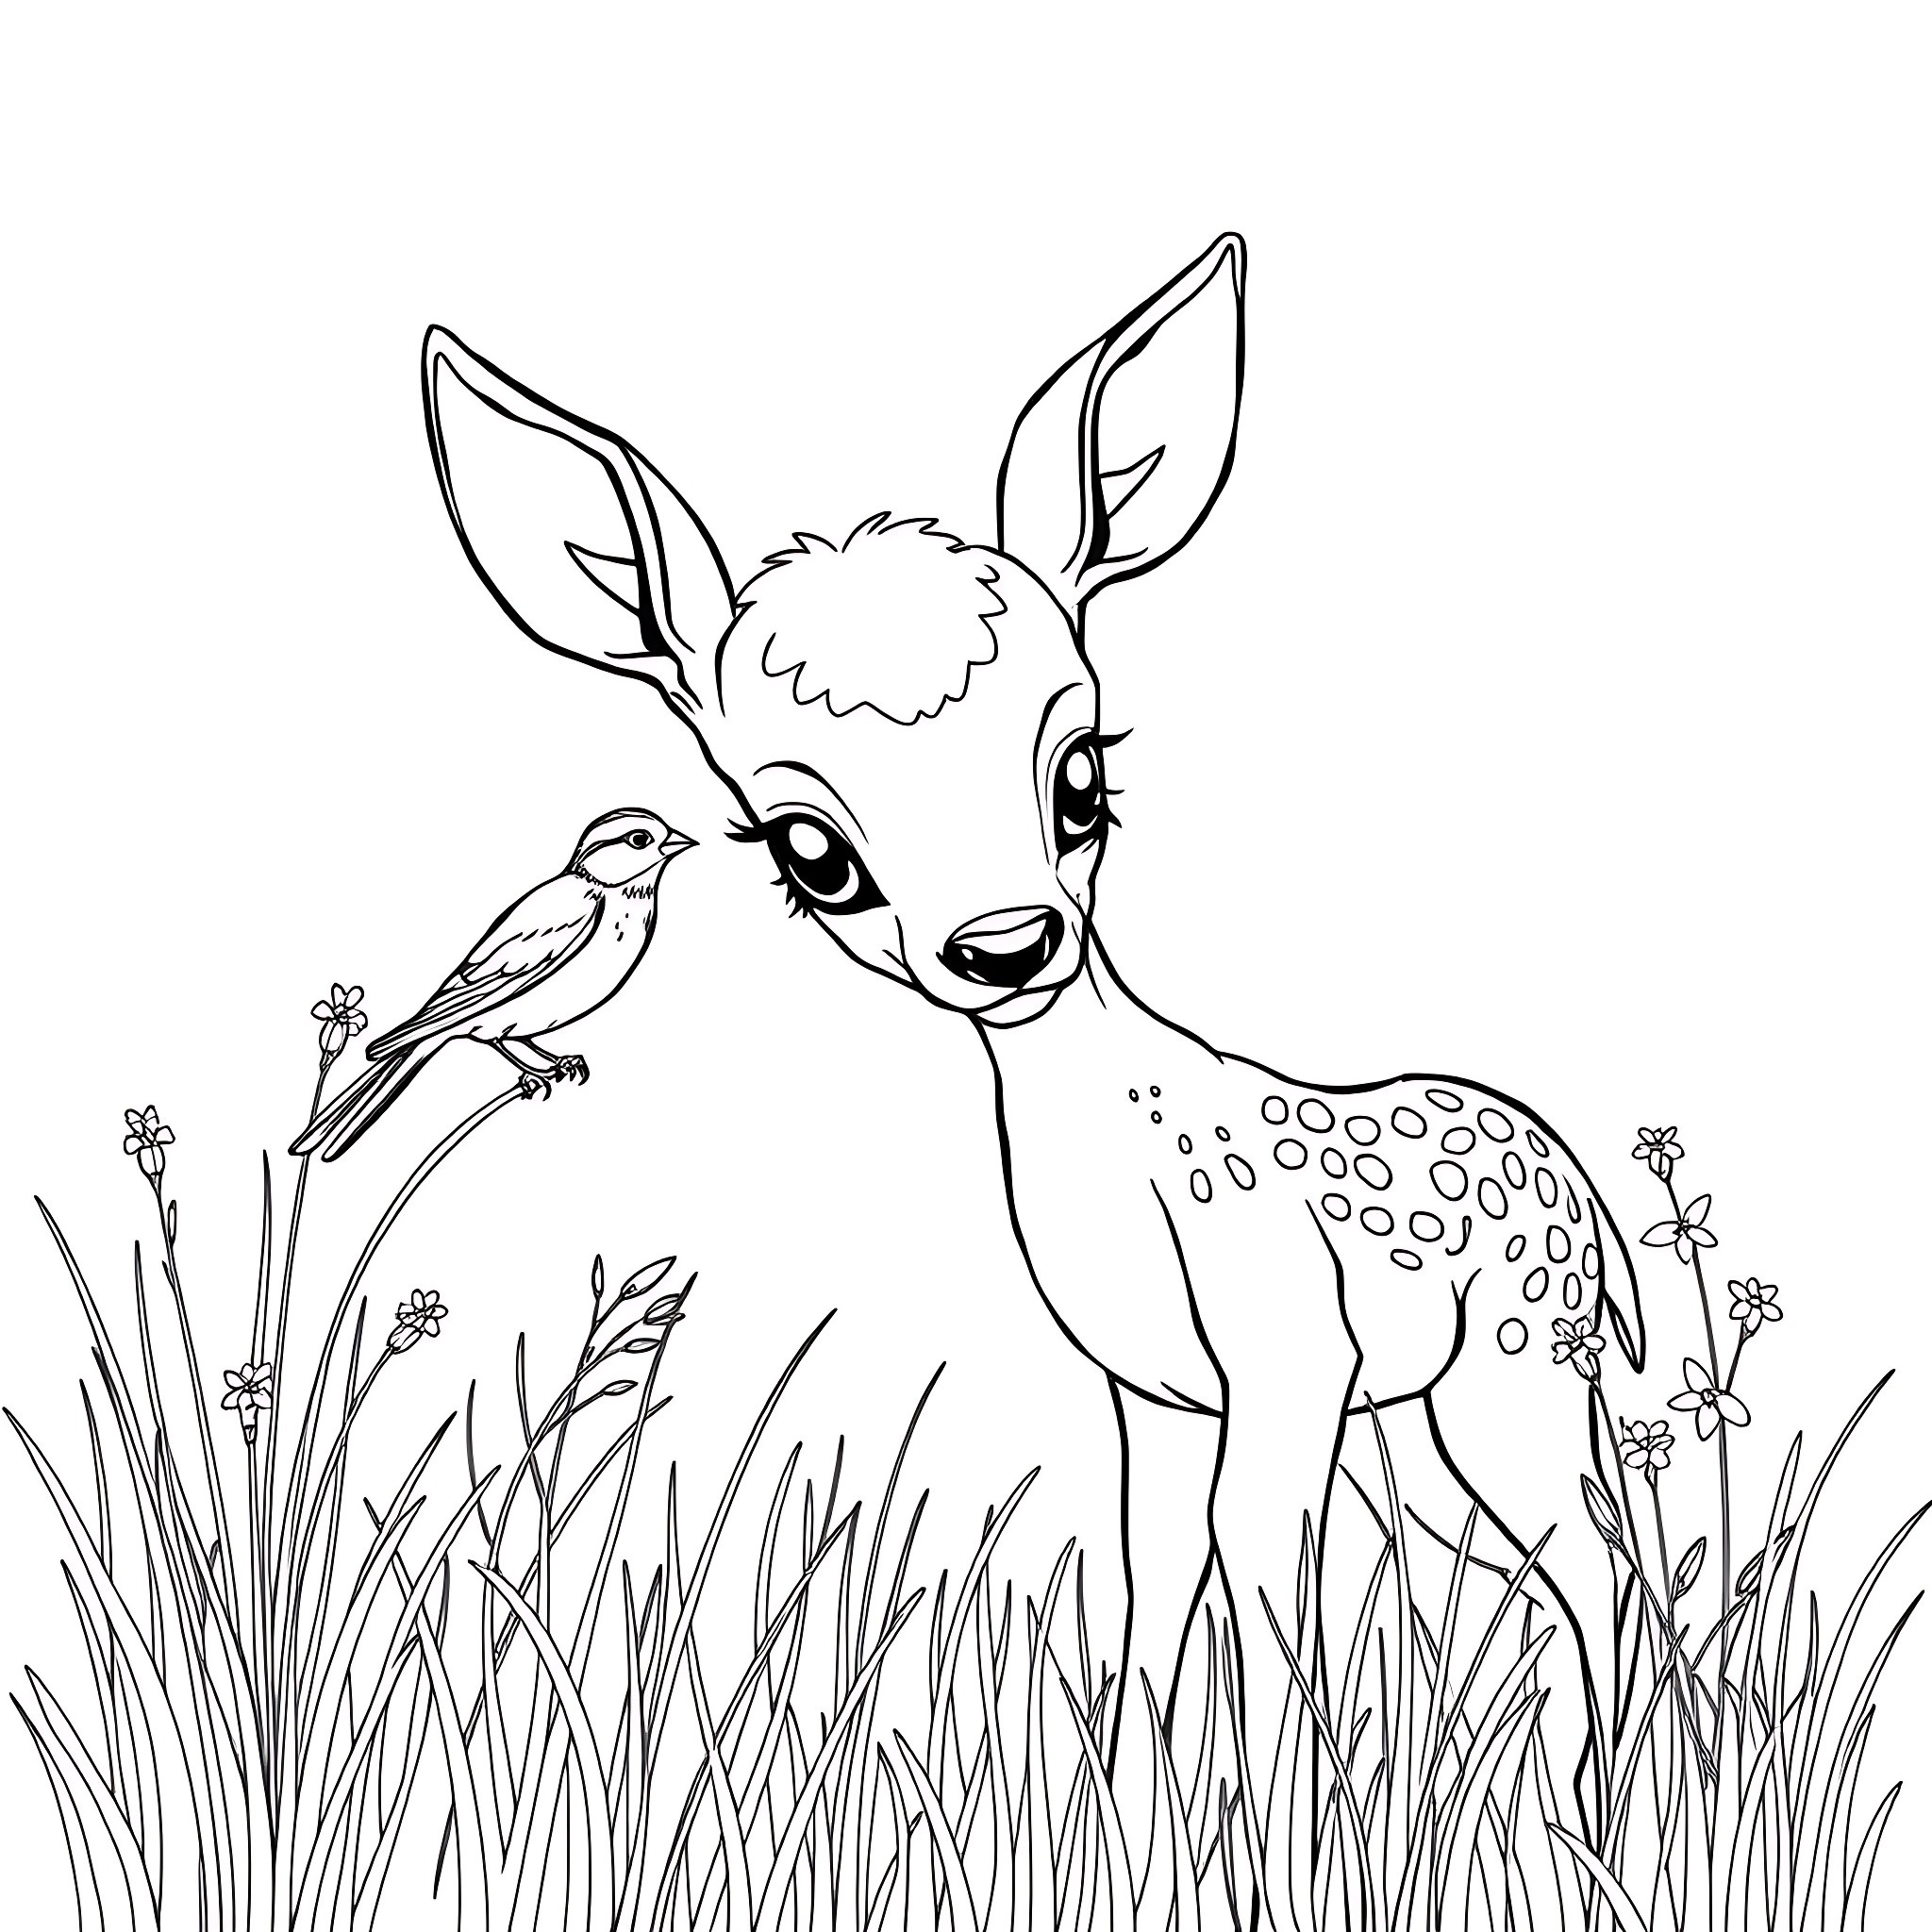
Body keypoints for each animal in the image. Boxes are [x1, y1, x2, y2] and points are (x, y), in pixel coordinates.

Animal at [418, 233, 1645, 1842]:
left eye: (1082, 776)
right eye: (811, 852)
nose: (1006, 946)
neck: (1123, 1154)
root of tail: (1590, 1204)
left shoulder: (1287, 1359)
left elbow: (1266, 1589)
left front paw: (1276, 1846)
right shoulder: (1161, 1398)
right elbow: (1155, 1596)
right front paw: (1139, 1832)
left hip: (1521, 1362)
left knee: (1601, 1558)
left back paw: (1606, 1824)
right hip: (1436, 1411)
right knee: (1543, 1562)